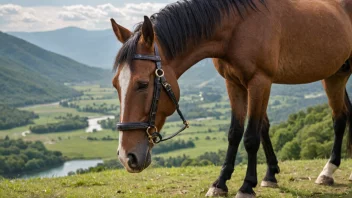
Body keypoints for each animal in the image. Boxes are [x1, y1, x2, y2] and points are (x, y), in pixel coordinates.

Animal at [111, 0, 352, 197]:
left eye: (142, 84)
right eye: (115, 84)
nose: (126, 157)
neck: (239, 24)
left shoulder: (259, 82)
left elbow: (251, 136)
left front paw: (247, 186)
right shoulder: (234, 83)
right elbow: (236, 133)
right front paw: (222, 182)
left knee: (339, 120)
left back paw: (328, 171)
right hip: (336, 75)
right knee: (345, 114)